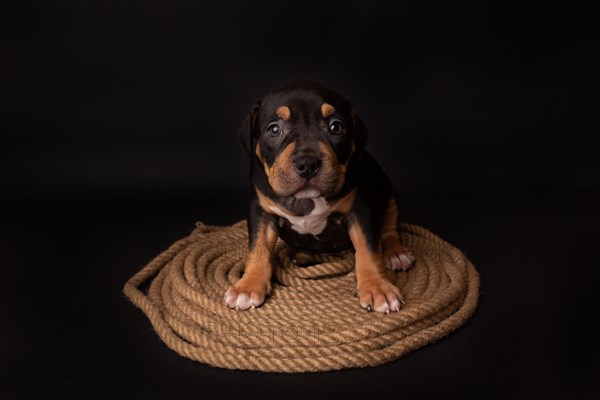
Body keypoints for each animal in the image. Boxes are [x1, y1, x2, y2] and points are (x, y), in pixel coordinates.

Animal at [223, 81, 414, 312]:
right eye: (274, 130)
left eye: (336, 127)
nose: (307, 164)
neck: (307, 200)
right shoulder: (261, 212)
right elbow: (258, 248)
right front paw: (248, 286)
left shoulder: (361, 209)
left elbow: (369, 248)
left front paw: (378, 287)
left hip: (389, 193)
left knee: (389, 228)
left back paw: (396, 254)